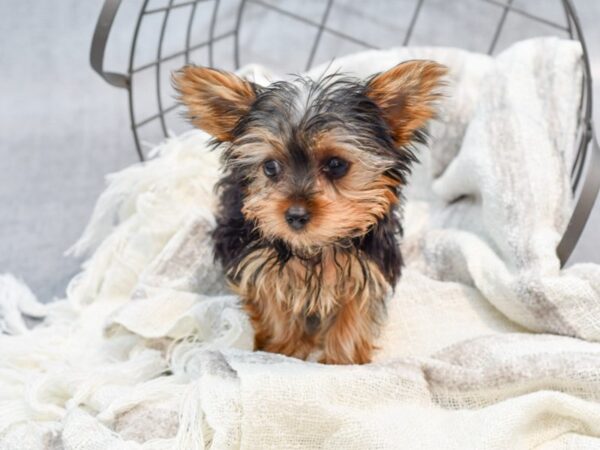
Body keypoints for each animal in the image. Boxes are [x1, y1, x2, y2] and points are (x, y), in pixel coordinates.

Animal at [173, 59, 446, 364]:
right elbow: (274, 308)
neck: (314, 249)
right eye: (270, 167)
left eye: (336, 164)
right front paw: (284, 351)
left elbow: (353, 316)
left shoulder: (367, 269)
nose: (295, 215)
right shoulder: (257, 264)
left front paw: (343, 362)